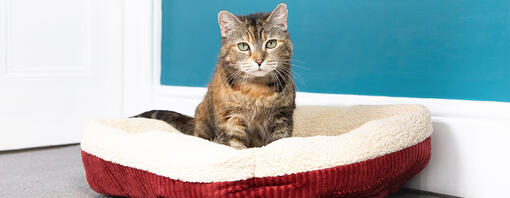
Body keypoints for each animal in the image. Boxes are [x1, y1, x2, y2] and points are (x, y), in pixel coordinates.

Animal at [135, 3, 294, 148]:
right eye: (243, 46)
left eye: (271, 43)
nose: (259, 60)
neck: (257, 90)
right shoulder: (231, 120)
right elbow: (236, 146)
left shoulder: (282, 118)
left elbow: (279, 143)